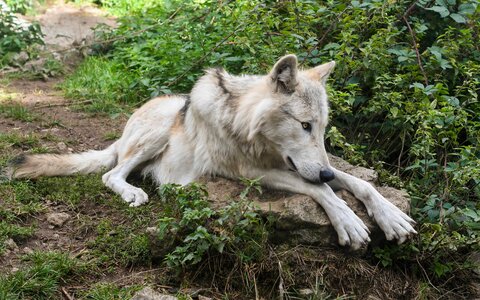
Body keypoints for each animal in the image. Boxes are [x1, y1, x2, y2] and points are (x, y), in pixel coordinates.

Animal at [7, 55, 416, 250]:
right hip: (159, 129)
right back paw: (134, 192)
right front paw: (349, 222)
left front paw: (390, 216)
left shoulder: (301, 166)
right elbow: (323, 189)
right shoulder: (246, 171)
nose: (327, 170)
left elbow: (356, 183)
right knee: (112, 173)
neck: (244, 124)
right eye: (304, 126)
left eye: (322, 129)